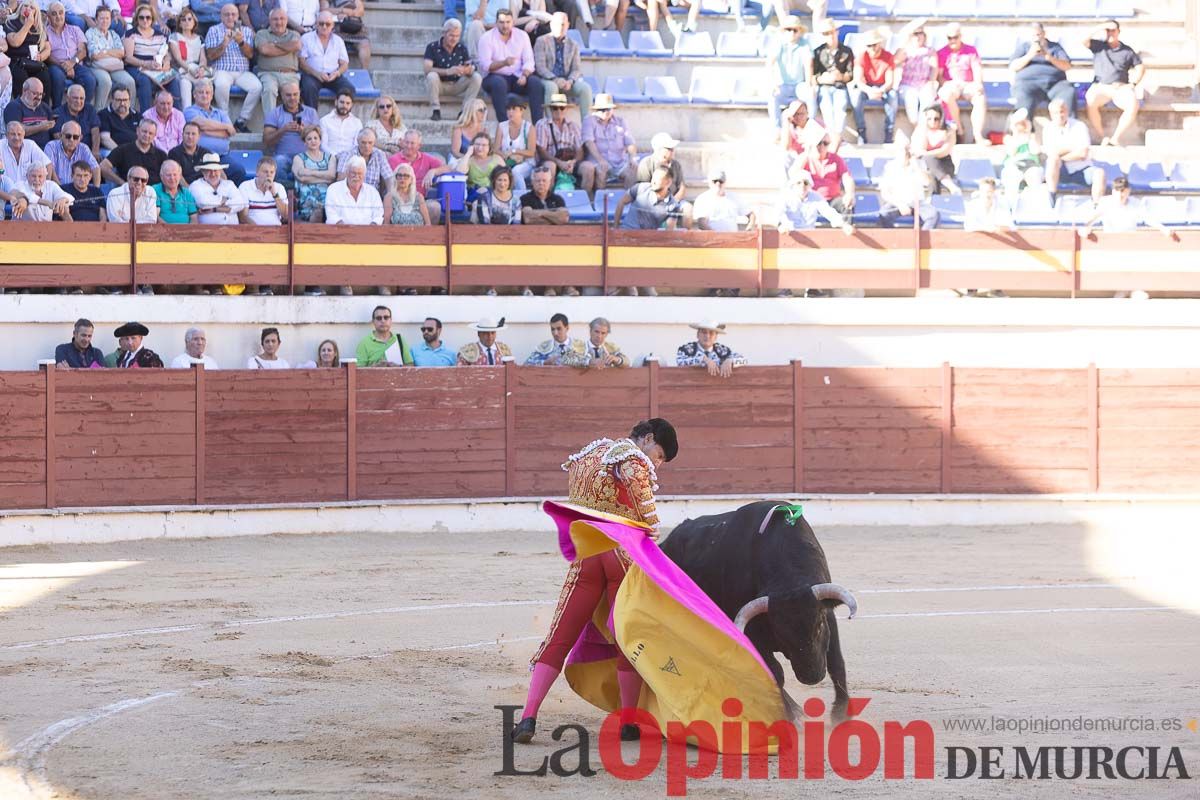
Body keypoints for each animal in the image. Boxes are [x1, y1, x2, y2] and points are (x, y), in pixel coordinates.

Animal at [662, 501, 859, 719]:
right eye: (780, 634)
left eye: (819, 625)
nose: (811, 676)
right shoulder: (752, 633)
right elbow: (775, 673)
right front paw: (791, 716)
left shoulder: (828, 613)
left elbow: (836, 662)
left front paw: (841, 714)